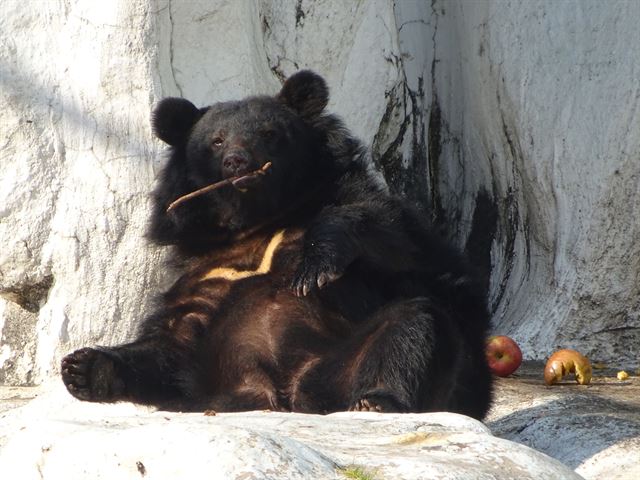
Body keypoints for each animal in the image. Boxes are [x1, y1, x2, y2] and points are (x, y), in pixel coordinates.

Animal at [60, 69, 492, 418]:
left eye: (268, 133)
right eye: (216, 141)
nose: (238, 162)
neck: (256, 224)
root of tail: (283, 395)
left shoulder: (364, 209)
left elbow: (396, 238)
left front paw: (315, 267)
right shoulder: (201, 273)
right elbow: (171, 343)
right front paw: (82, 368)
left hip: (338, 368)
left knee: (413, 325)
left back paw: (377, 400)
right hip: (230, 387)